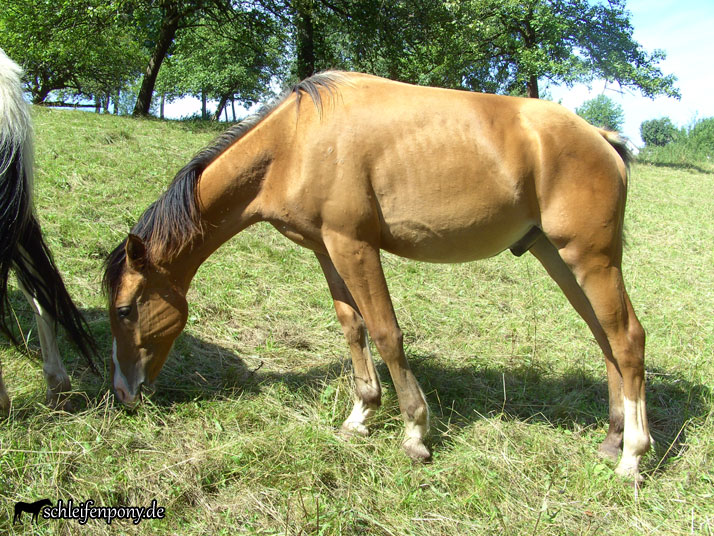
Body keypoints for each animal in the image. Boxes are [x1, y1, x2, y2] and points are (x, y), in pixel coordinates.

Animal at [104, 72, 652, 482]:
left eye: (126, 309)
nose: (123, 395)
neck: (294, 144)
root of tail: (601, 139)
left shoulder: (355, 246)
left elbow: (387, 333)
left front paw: (414, 434)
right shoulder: (328, 249)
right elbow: (353, 327)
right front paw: (361, 414)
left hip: (591, 259)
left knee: (627, 339)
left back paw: (632, 456)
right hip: (559, 258)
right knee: (605, 337)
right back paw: (612, 439)